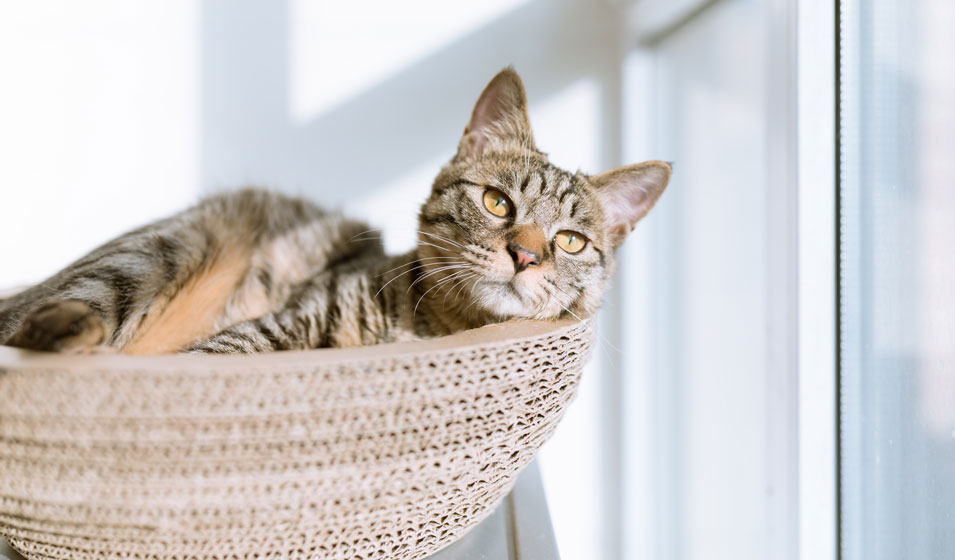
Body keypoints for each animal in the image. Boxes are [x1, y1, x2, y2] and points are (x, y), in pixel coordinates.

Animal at [0, 68, 672, 352]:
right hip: (155, 254)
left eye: (571, 241)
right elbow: (220, 354)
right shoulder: (274, 324)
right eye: (496, 202)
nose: (527, 255)